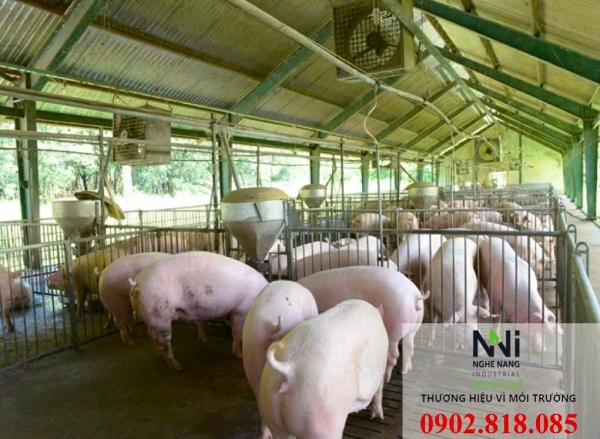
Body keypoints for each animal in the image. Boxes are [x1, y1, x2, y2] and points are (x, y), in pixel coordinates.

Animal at [129, 251, 268, 369]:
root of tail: (137, 281)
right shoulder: (240, 311)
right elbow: (237, 333)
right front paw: (240, 355)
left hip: (152, 317)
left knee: (152, 335)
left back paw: (160, 357)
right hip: (160, 315)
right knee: (164, 341)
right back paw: (177, 366)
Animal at [259, 299, 388, 439]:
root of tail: (288, 368)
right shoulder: (382, 365)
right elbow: (379, 390)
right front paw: (379, 416)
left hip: (272, 411)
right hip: (321, 419)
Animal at [298, 266, 427, 380]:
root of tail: (415, 295)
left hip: (395, 328)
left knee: (394, 355)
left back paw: (387, 378)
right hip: (414, 327)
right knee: (409, 348)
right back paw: (404, 371)